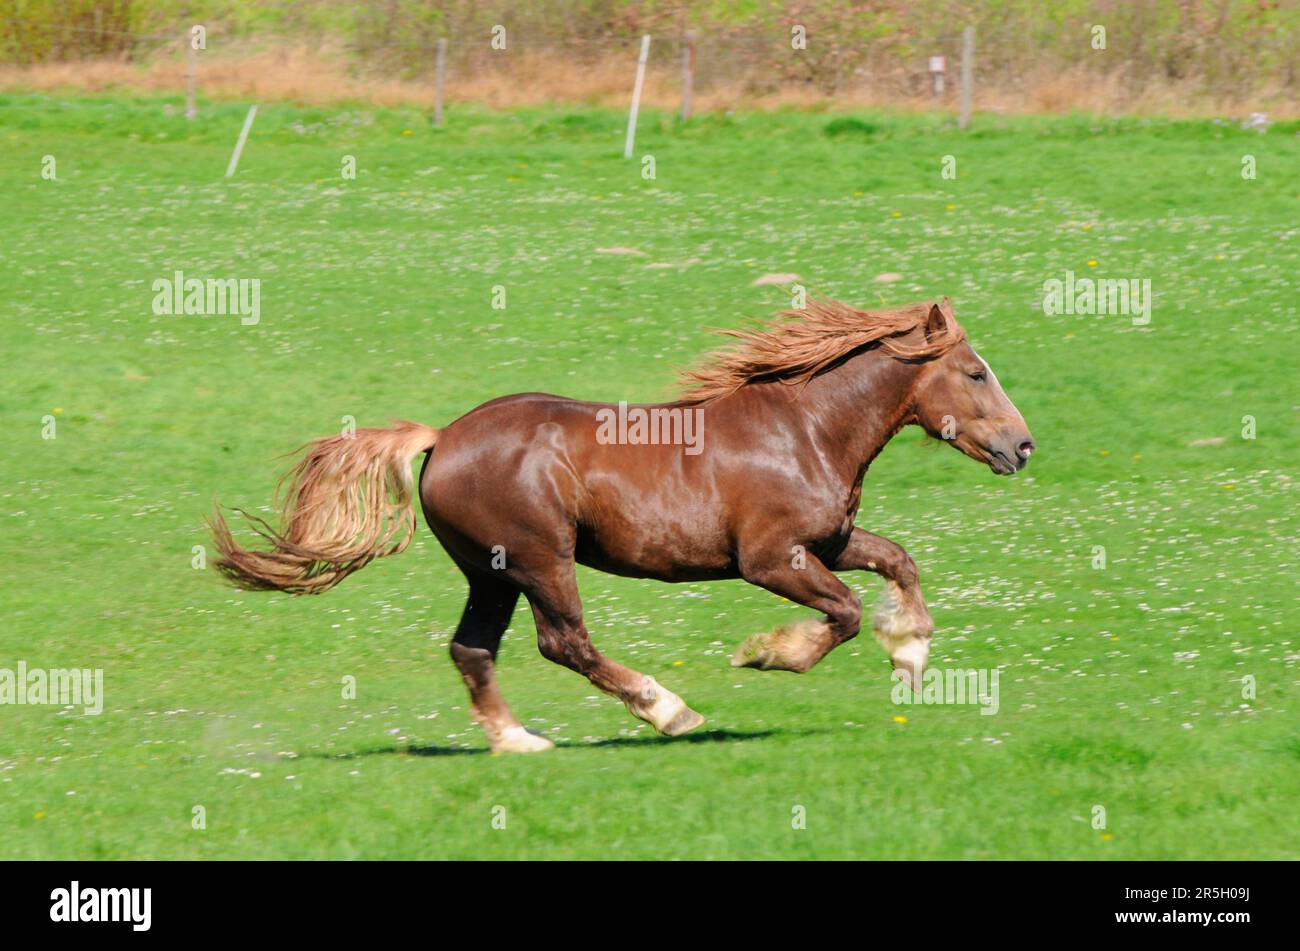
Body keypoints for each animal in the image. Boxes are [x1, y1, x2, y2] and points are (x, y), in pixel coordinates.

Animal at [210, 298, 1035, 753]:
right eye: (975, 372)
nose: (1022, 446)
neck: (803, 429)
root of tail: (441, 438)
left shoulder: (828, 541)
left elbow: (898, 560)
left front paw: (912, 656)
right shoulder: (770, 558)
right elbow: (846, 611)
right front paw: (765, 654)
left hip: (491, 572)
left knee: (473, 648)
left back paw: (521, 742)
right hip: (541, 559)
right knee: (564, 642)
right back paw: (669, 710)